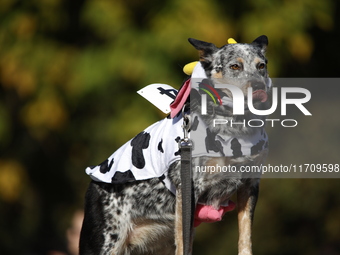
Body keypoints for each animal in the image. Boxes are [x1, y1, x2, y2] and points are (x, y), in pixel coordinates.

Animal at [79, 34, 270, 254]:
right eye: (235, 66)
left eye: (261, 65)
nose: (259, 87)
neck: (235, 127)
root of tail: (93, 184)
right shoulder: (189, 189)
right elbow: (185, 243)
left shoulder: (250, 185)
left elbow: (245, 237)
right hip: (105, 241)